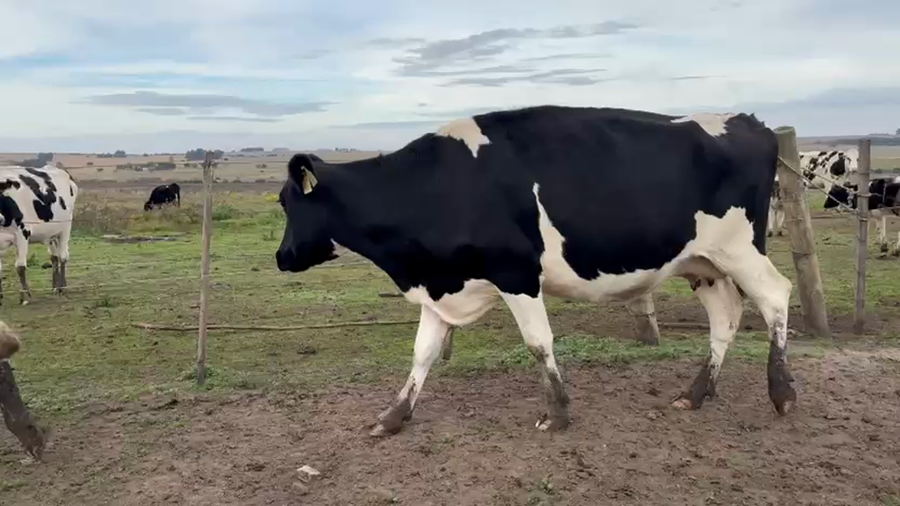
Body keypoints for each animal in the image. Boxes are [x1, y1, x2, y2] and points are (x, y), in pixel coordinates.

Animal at [0, 164, 78, 305]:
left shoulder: (22, 233)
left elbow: (20, 267)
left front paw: (25, 296)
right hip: (51, 234)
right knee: (54, 257)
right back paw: (55, 287)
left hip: (65, 228)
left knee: (63, 257)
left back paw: (62, 288)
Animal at [275, 105, 796, 437]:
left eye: (285, 202)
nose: (282, 257)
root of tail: (750, 122)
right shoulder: (441, 285)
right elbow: (422, 353)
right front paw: (393, 416)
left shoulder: (517, 274)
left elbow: (538, 342)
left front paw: (558, 414)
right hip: (703, 263)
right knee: (726, 316)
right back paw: (696, 392)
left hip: (741, 250)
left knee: (775, 296)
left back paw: (782, 393)